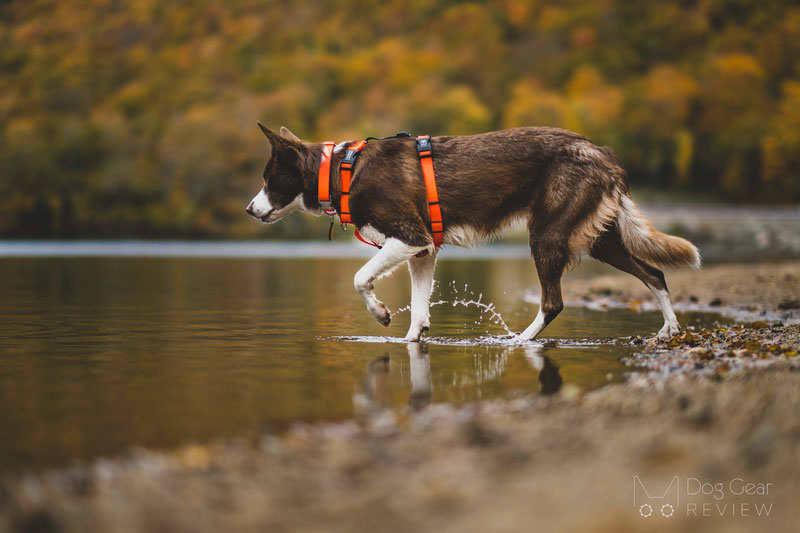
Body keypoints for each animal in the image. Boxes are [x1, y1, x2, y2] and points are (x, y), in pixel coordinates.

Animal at [245, 123, 700, 340]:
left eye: (268, 179)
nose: (249, 210)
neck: (341, 169)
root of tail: (603, 152)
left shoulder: (410, 237)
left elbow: (360, 278)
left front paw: (380, 313)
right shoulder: (424, 250)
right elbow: (420, 312)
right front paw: (412, 340)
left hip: (547, 234)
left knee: (553, 303)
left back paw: (518, 342)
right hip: (598, 238)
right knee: (655, 273)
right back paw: (669, 329)